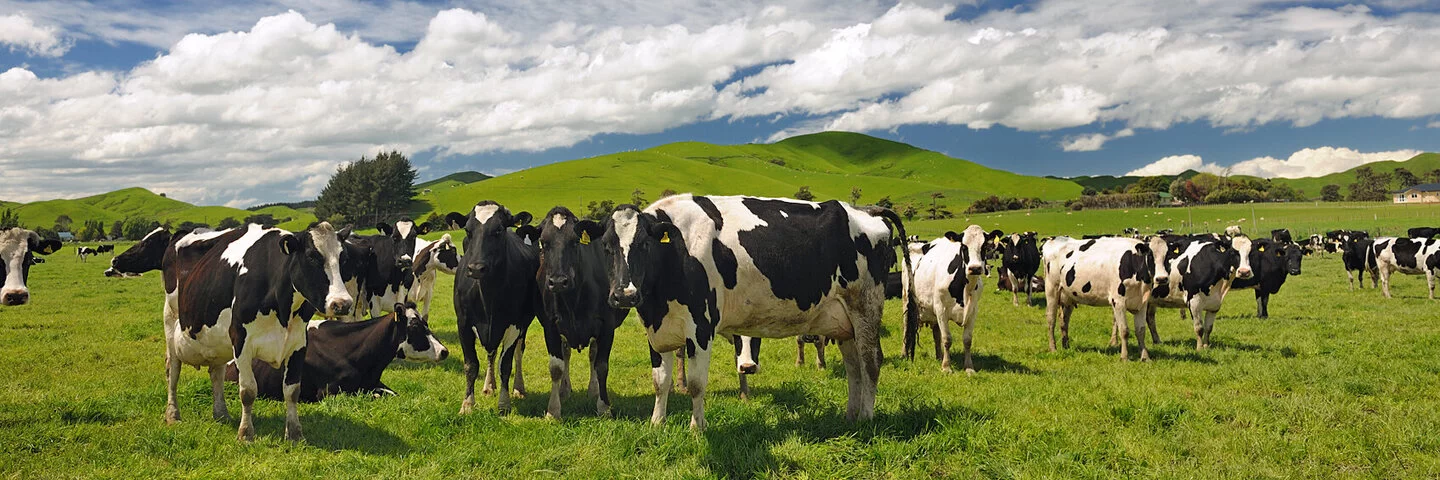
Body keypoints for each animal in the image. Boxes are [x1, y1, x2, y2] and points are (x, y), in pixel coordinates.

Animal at [224, 302, 446, 400]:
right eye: (415, 326)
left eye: (426, 323)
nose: (444, 351)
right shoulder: (329, 391)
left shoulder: (375, 383)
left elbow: (392, 394)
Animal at [443, 200, 541, 412]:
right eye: (468, 230)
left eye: (498, 230)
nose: (475, 268)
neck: (488, 295)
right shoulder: (463, 324)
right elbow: (471, 365)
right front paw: (467, 404)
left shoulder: (514, 325)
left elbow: (505, 365)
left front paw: (504, 404)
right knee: (491, 353)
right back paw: (489, 386)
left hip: (524, 324)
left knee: (518, 353)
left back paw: (518, 388)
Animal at [532, 207, 627, 418]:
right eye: (543, 242)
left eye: (575, 241)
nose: (558, 281)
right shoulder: (550, 326)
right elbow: (556, 367)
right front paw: (553, 410)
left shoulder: (607, 326)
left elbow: (601, 365)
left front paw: (603, 407)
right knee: (566, 353)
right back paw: (564, 390)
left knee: (593, 354)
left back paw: (593, 390)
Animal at [604, 196, 910, 426]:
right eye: (606, 247)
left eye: (644, 244)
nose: (624, 294)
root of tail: (865, 210)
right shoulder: (657, 330)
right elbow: (660, 382)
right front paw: (657, 424)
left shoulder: (701, 327)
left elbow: (696, 383)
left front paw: (697, 428)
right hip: (843, 321)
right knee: (853, 367)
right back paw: (850, 416)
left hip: (865, 306)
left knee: (871, 361)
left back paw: (866, 418)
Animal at [904, 226, 996, 371]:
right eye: (963, 246)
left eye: (985, 246)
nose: (975, 268)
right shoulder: (941, 309)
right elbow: (947, 339)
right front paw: (947, 367)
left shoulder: (973, 311)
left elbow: (967, 340)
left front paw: (969, 367)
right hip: (907, 300)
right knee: (906, 327)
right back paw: (904, 354)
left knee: (936, 333)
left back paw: (939, 356)